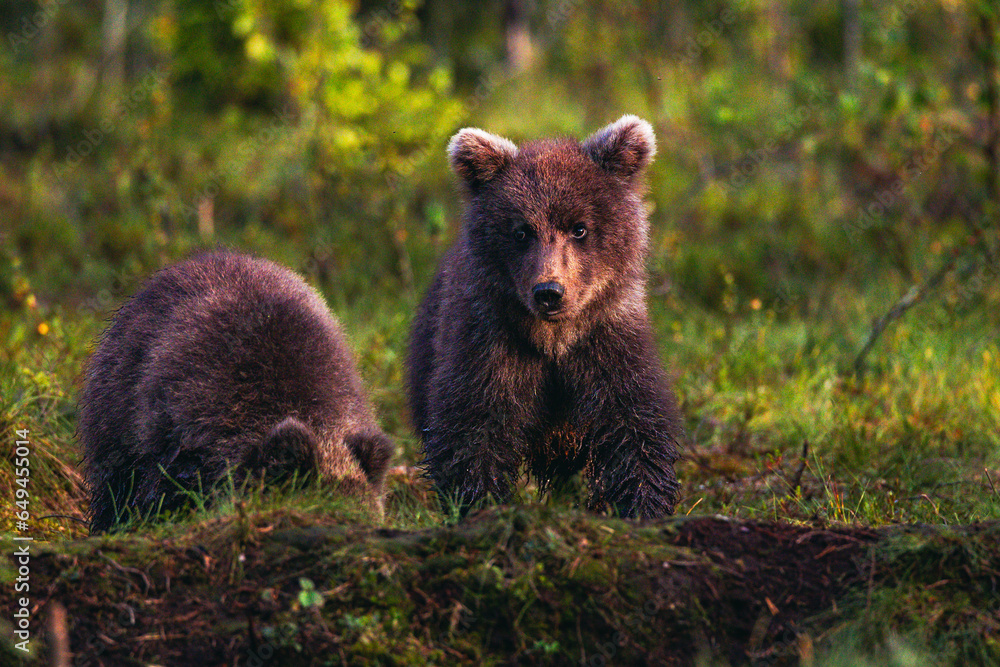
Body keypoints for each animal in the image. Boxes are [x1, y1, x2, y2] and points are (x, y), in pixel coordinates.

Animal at [406, 115, 683, 520]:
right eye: (522, 231)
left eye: (579, 227)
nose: (549, 291)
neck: (555, 340)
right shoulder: (490, 343)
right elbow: (472, 430)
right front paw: (479, 503)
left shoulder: (606, 341)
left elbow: (634, 424)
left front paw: (644, 505)